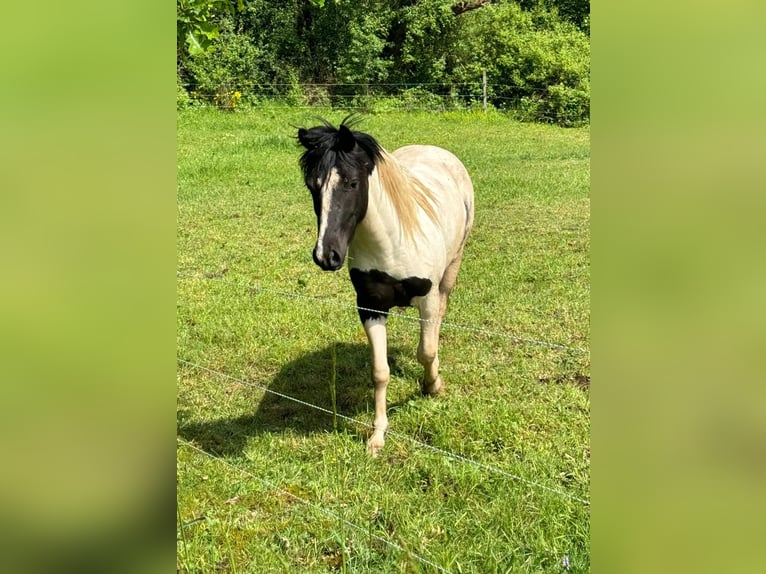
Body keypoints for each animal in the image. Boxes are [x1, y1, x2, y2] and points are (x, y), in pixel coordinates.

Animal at [298, 118, 474, 460]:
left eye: (352, 183)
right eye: (312, 185)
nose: (326, 256)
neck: (392, 244)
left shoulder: (427, 299)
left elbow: (426, 350)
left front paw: (433, 386)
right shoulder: (370, 307)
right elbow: (380, 372)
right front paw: (377, 436)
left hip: (452, 269)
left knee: (439, 322)